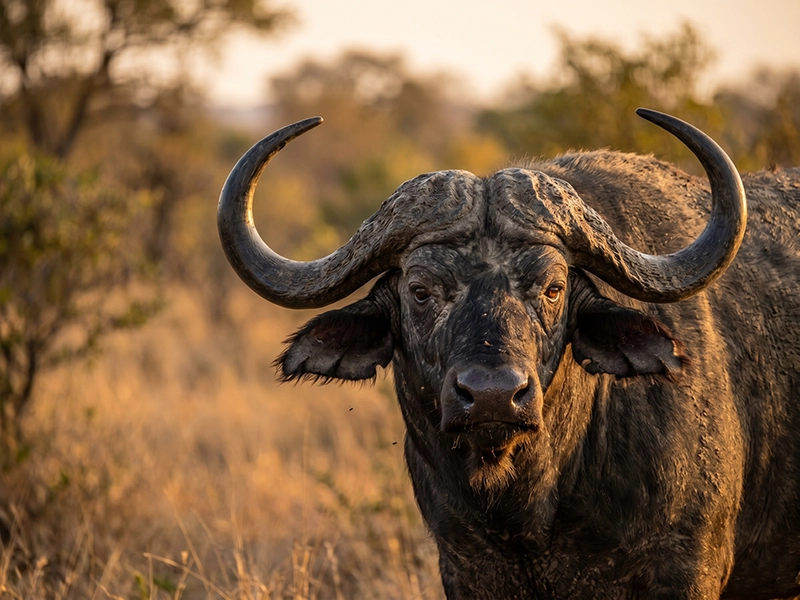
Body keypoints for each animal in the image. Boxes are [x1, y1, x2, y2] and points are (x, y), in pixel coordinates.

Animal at [218, 109, 800, 599]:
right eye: (420, 290)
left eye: (553, 288)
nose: (493, 396)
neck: (530, 510)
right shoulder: (464, 568)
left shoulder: (686, 567)